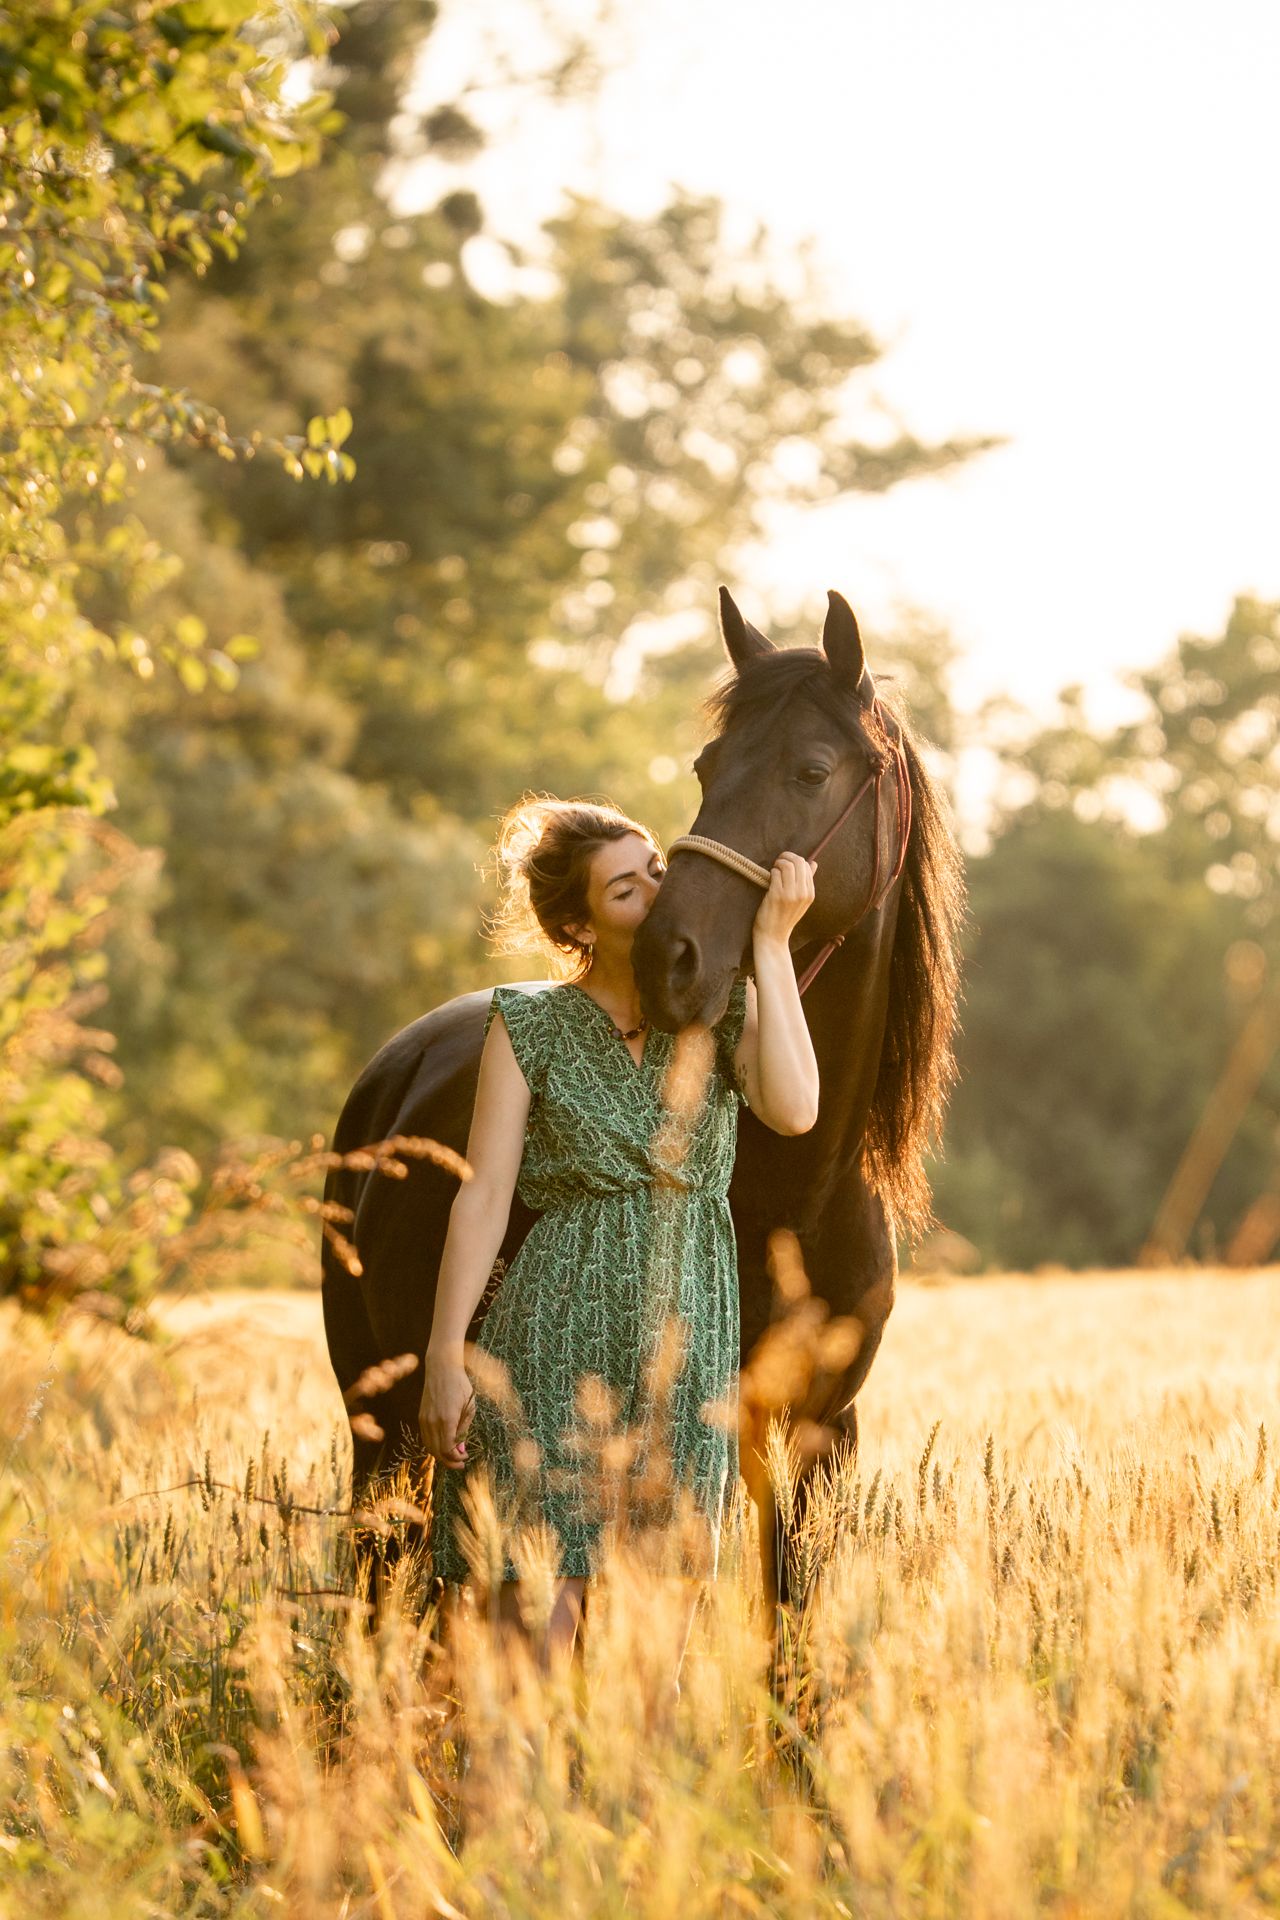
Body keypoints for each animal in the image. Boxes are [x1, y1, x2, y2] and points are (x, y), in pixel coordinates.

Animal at [319, 586, 964, 1612]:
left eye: (812, 769)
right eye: (706, 766)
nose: (671, 958)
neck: (799, 1190)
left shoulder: (820, 1438)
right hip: (381, 1421)